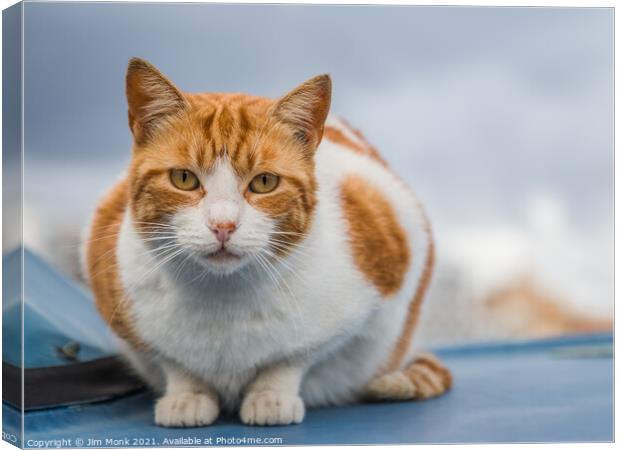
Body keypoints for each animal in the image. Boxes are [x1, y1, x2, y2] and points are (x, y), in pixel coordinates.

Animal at [83, 58, 450, 428]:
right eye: (183, 178)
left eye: (264, 182)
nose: (223, 225)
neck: (223, 298)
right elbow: (174, 363)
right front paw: (188, 395)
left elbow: (292, 359)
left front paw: (271, 395)